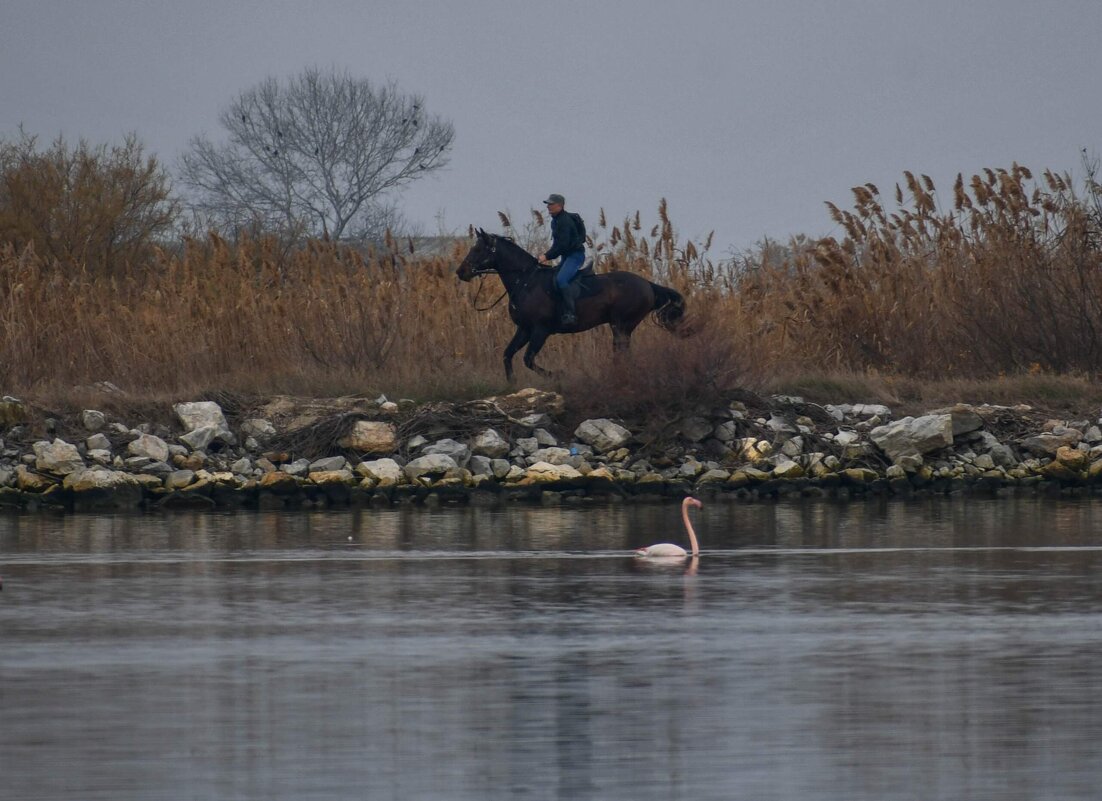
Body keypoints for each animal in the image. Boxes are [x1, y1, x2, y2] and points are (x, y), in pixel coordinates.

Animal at [454, 229, 678, 381]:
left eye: (478, 249)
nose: (460, 272)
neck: (525, 280)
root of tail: (648, 284)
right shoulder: (524, 329)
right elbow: (507, 355)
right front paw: (512, 383)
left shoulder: (540, 330)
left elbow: (528, 359)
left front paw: (558, 375)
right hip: (621, 327)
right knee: (622, 352)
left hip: (621, 325)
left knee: (621, 352)